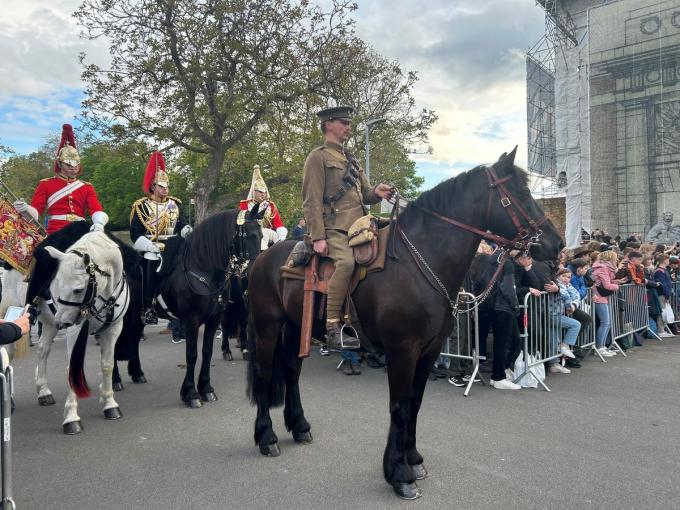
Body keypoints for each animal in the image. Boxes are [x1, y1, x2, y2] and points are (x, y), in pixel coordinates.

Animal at [37, 232, 129, 434]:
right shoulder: (75, 330)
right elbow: (72, 367)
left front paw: (109, 403)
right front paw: (71, 418)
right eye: (57, 282)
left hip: (48, 323)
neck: (104, 295)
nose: (61, 322)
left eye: (78, 289)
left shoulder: (113, 329)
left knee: (43, 350)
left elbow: (107, 365)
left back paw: (43, 391)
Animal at [244, 149, 564, 500]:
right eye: (519, 193)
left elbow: (415, 403)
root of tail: (262, 258)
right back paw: (266, 438)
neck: (419, 261)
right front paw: (399, 474)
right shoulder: (403, 351)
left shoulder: (429, 351)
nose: (556, 244)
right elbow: (399, 406)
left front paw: (413, 459)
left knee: (291, 373)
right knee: (264, 376)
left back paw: (300, 426)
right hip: (267, 330)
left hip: (294, 330)